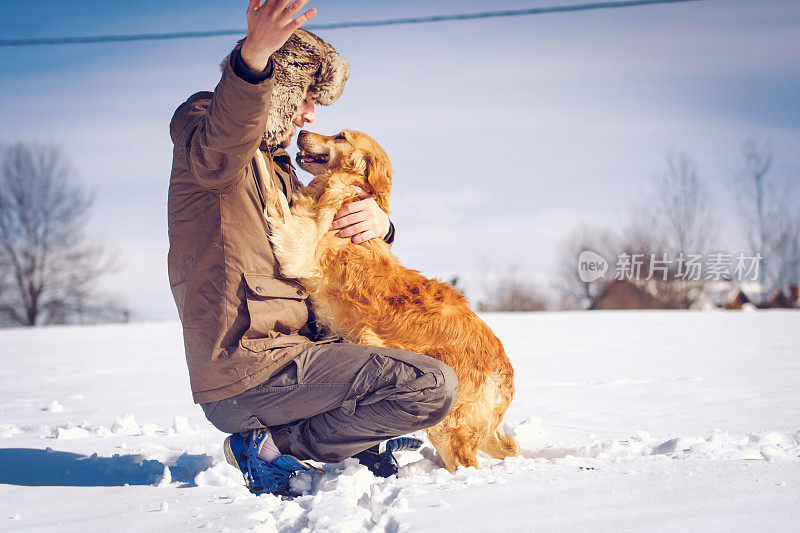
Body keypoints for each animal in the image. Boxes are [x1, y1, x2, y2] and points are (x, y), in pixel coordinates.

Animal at [255, 130, 520, 470]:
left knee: (469, 461)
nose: (301, 132)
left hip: (448, 425)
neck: (346, 193)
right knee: (509, 445)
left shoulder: (295, 249)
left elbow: (271, 192)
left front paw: (254, 152)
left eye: (340, 136)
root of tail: (504, 365)